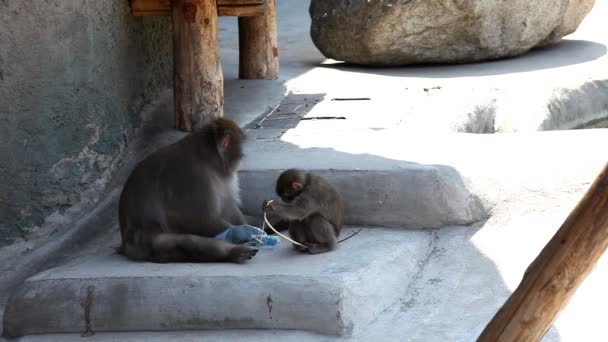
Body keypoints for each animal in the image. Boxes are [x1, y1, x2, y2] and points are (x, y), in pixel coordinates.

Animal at [119, 119, 258, 264]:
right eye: (239, 147)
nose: (242, 155)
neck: (207, 157)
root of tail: (126, 246)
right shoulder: (196, 177)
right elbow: (202, 219)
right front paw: (245, 233)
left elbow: (228, 209)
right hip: (147, 242)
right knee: (186, 242)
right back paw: (233, 252)